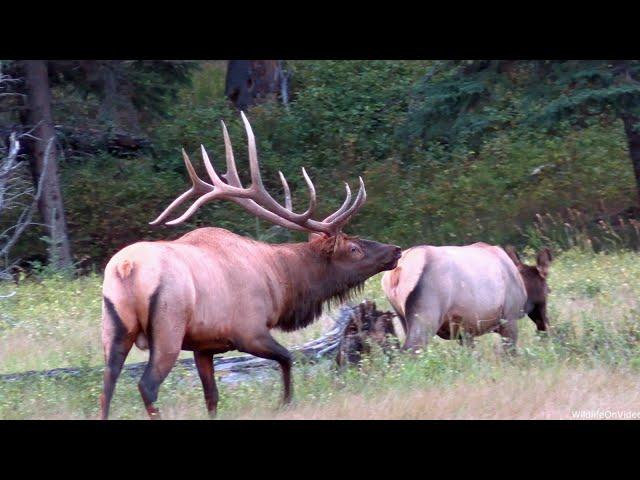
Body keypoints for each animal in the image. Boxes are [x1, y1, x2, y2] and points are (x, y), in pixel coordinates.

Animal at [100, 112, 400, 420]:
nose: (396, 250)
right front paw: (285, 403)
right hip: (168, 326)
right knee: (147, 385)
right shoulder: (249, 330)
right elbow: (287, 358)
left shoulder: (203, 345)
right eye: (354, 249)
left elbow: (212, 397)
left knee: (107, 385)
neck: (281, 284)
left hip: (113, 327)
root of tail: (126, 267)